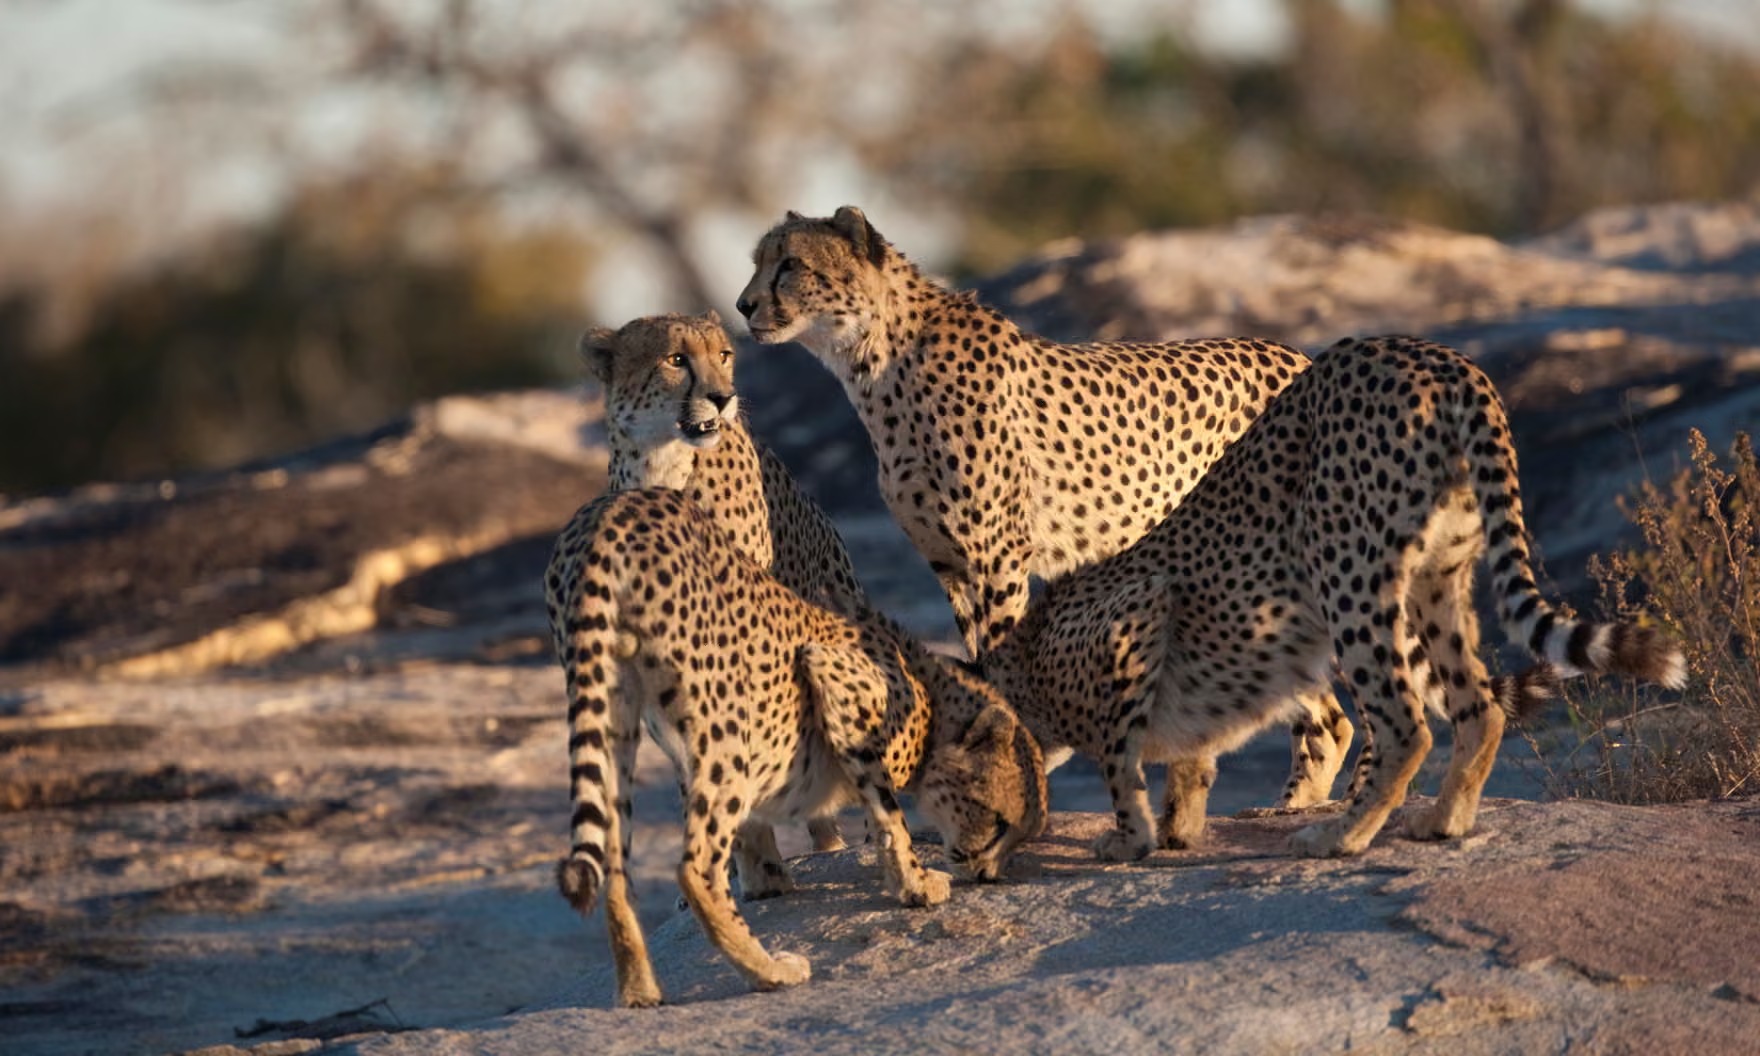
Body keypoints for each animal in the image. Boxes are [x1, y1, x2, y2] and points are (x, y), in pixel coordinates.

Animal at [546, 487, 1047, 1007]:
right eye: (998, 820)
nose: (985, 872)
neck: (934, 699)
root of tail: (613, 509)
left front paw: (773, 880)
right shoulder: (835, 680)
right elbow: (888, 812)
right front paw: (916, 884)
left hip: (615, 709)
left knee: (615, 863)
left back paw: (639, 990)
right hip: (727, 721)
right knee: (697, 868)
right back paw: (769, 971)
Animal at [737, 205, 1353, 811]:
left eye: (790, 264)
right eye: (758, 262)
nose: (743, 305)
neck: (876, 360)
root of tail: (1295, 353)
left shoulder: (998, 556)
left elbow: (1002, 654)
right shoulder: (952, 566)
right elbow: (979, 660)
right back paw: (1300, 803)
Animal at [966, 334, 1684, 861]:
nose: (969, 852)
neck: (1023, 670)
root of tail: (1434, 355)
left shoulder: (1138, 615)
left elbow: (1121, 756)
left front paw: (1132, 838)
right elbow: (1191, 753)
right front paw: (1178, 828)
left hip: (1348, 571)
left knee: (1405, 725)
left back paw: (1341, 835)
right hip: (1435, 579)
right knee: (1476, 705)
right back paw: (1443, 822)